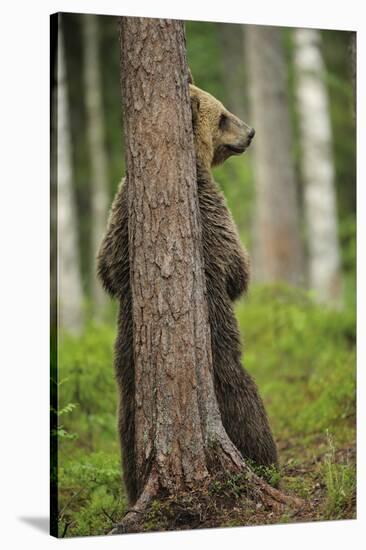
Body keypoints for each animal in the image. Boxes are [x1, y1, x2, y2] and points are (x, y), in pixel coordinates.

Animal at [97, 74, 278, 508]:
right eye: (224, 115)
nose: (250, 132)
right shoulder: (210, 207)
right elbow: (235, 268)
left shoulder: (119, 212)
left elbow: (107, 267)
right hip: (222, 360)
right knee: (246, 403)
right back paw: (268, 465)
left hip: (128, 382)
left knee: (127, 432)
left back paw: (134, 485)